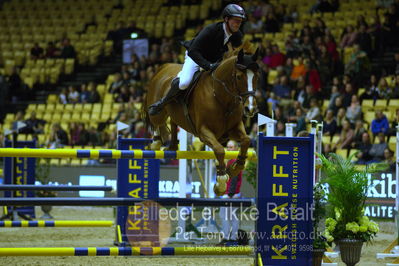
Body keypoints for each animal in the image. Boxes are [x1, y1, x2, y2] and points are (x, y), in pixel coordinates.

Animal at [144, 49, 260, 195]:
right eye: (239, 77)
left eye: (256, 77)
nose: (250, 108)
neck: (220, 97)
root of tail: (164, 67)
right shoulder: (204, 132)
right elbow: (219, 150)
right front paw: (221, 182)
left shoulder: (233, 129)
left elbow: (246, 140)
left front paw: (234, 168)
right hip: (158, 112)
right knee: (156, 120)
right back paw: (156, 141)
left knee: (173, 122)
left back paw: (172, 145)